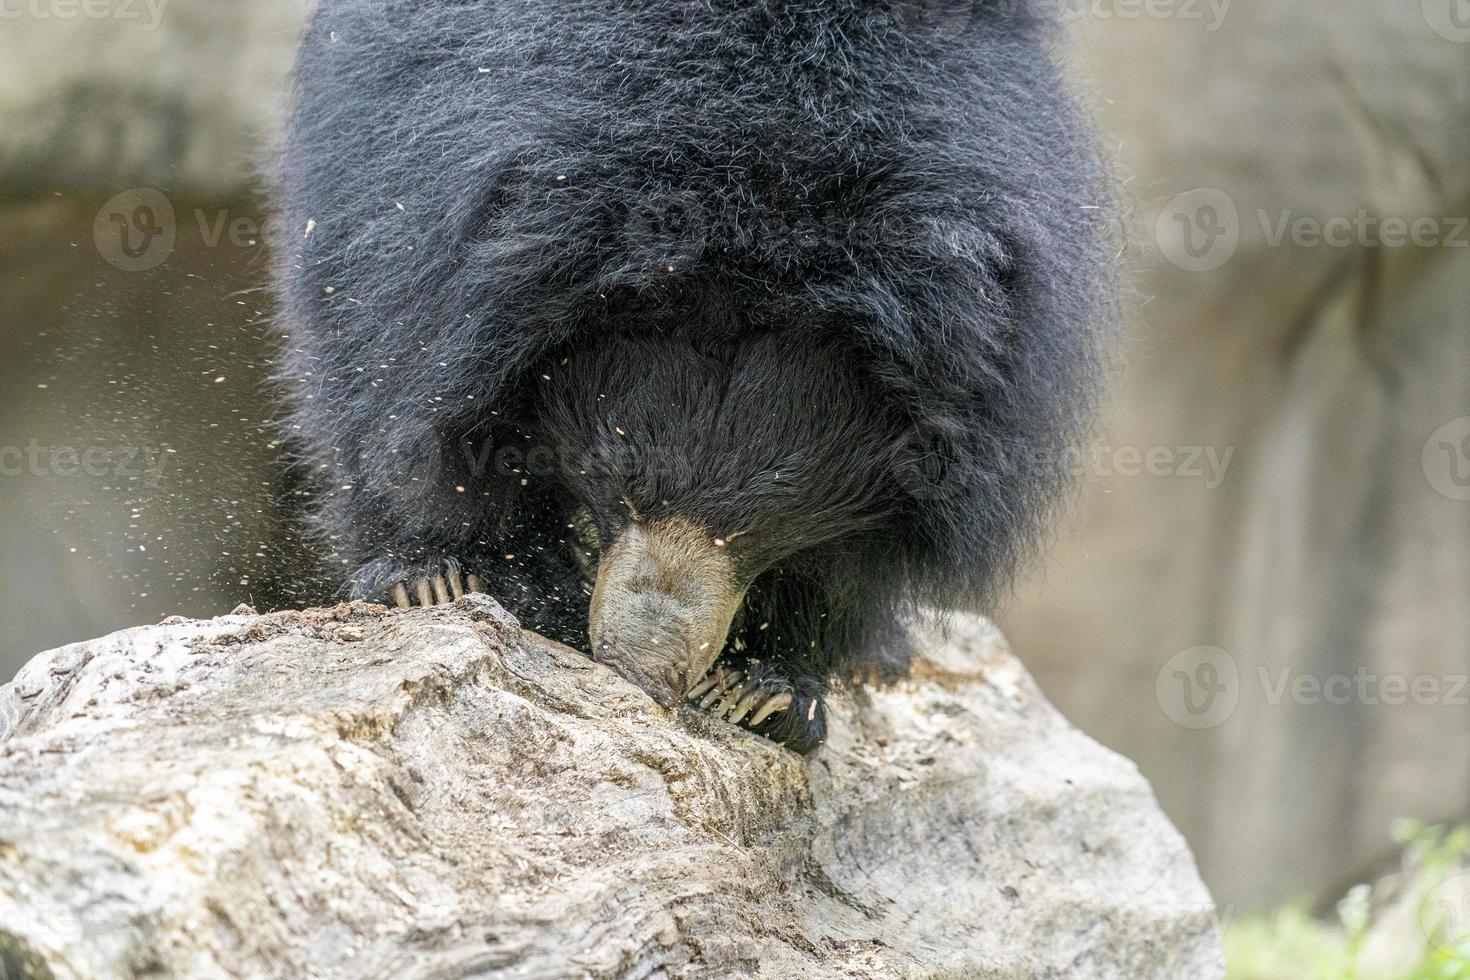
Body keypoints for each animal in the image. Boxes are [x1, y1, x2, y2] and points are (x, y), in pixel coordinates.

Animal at [276, 0, 1105, 758]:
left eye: (766, 517)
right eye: (619, 478)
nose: (641, 672)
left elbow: (853, 566)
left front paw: (767, 692)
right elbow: (417, 403)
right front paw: (457, 579)